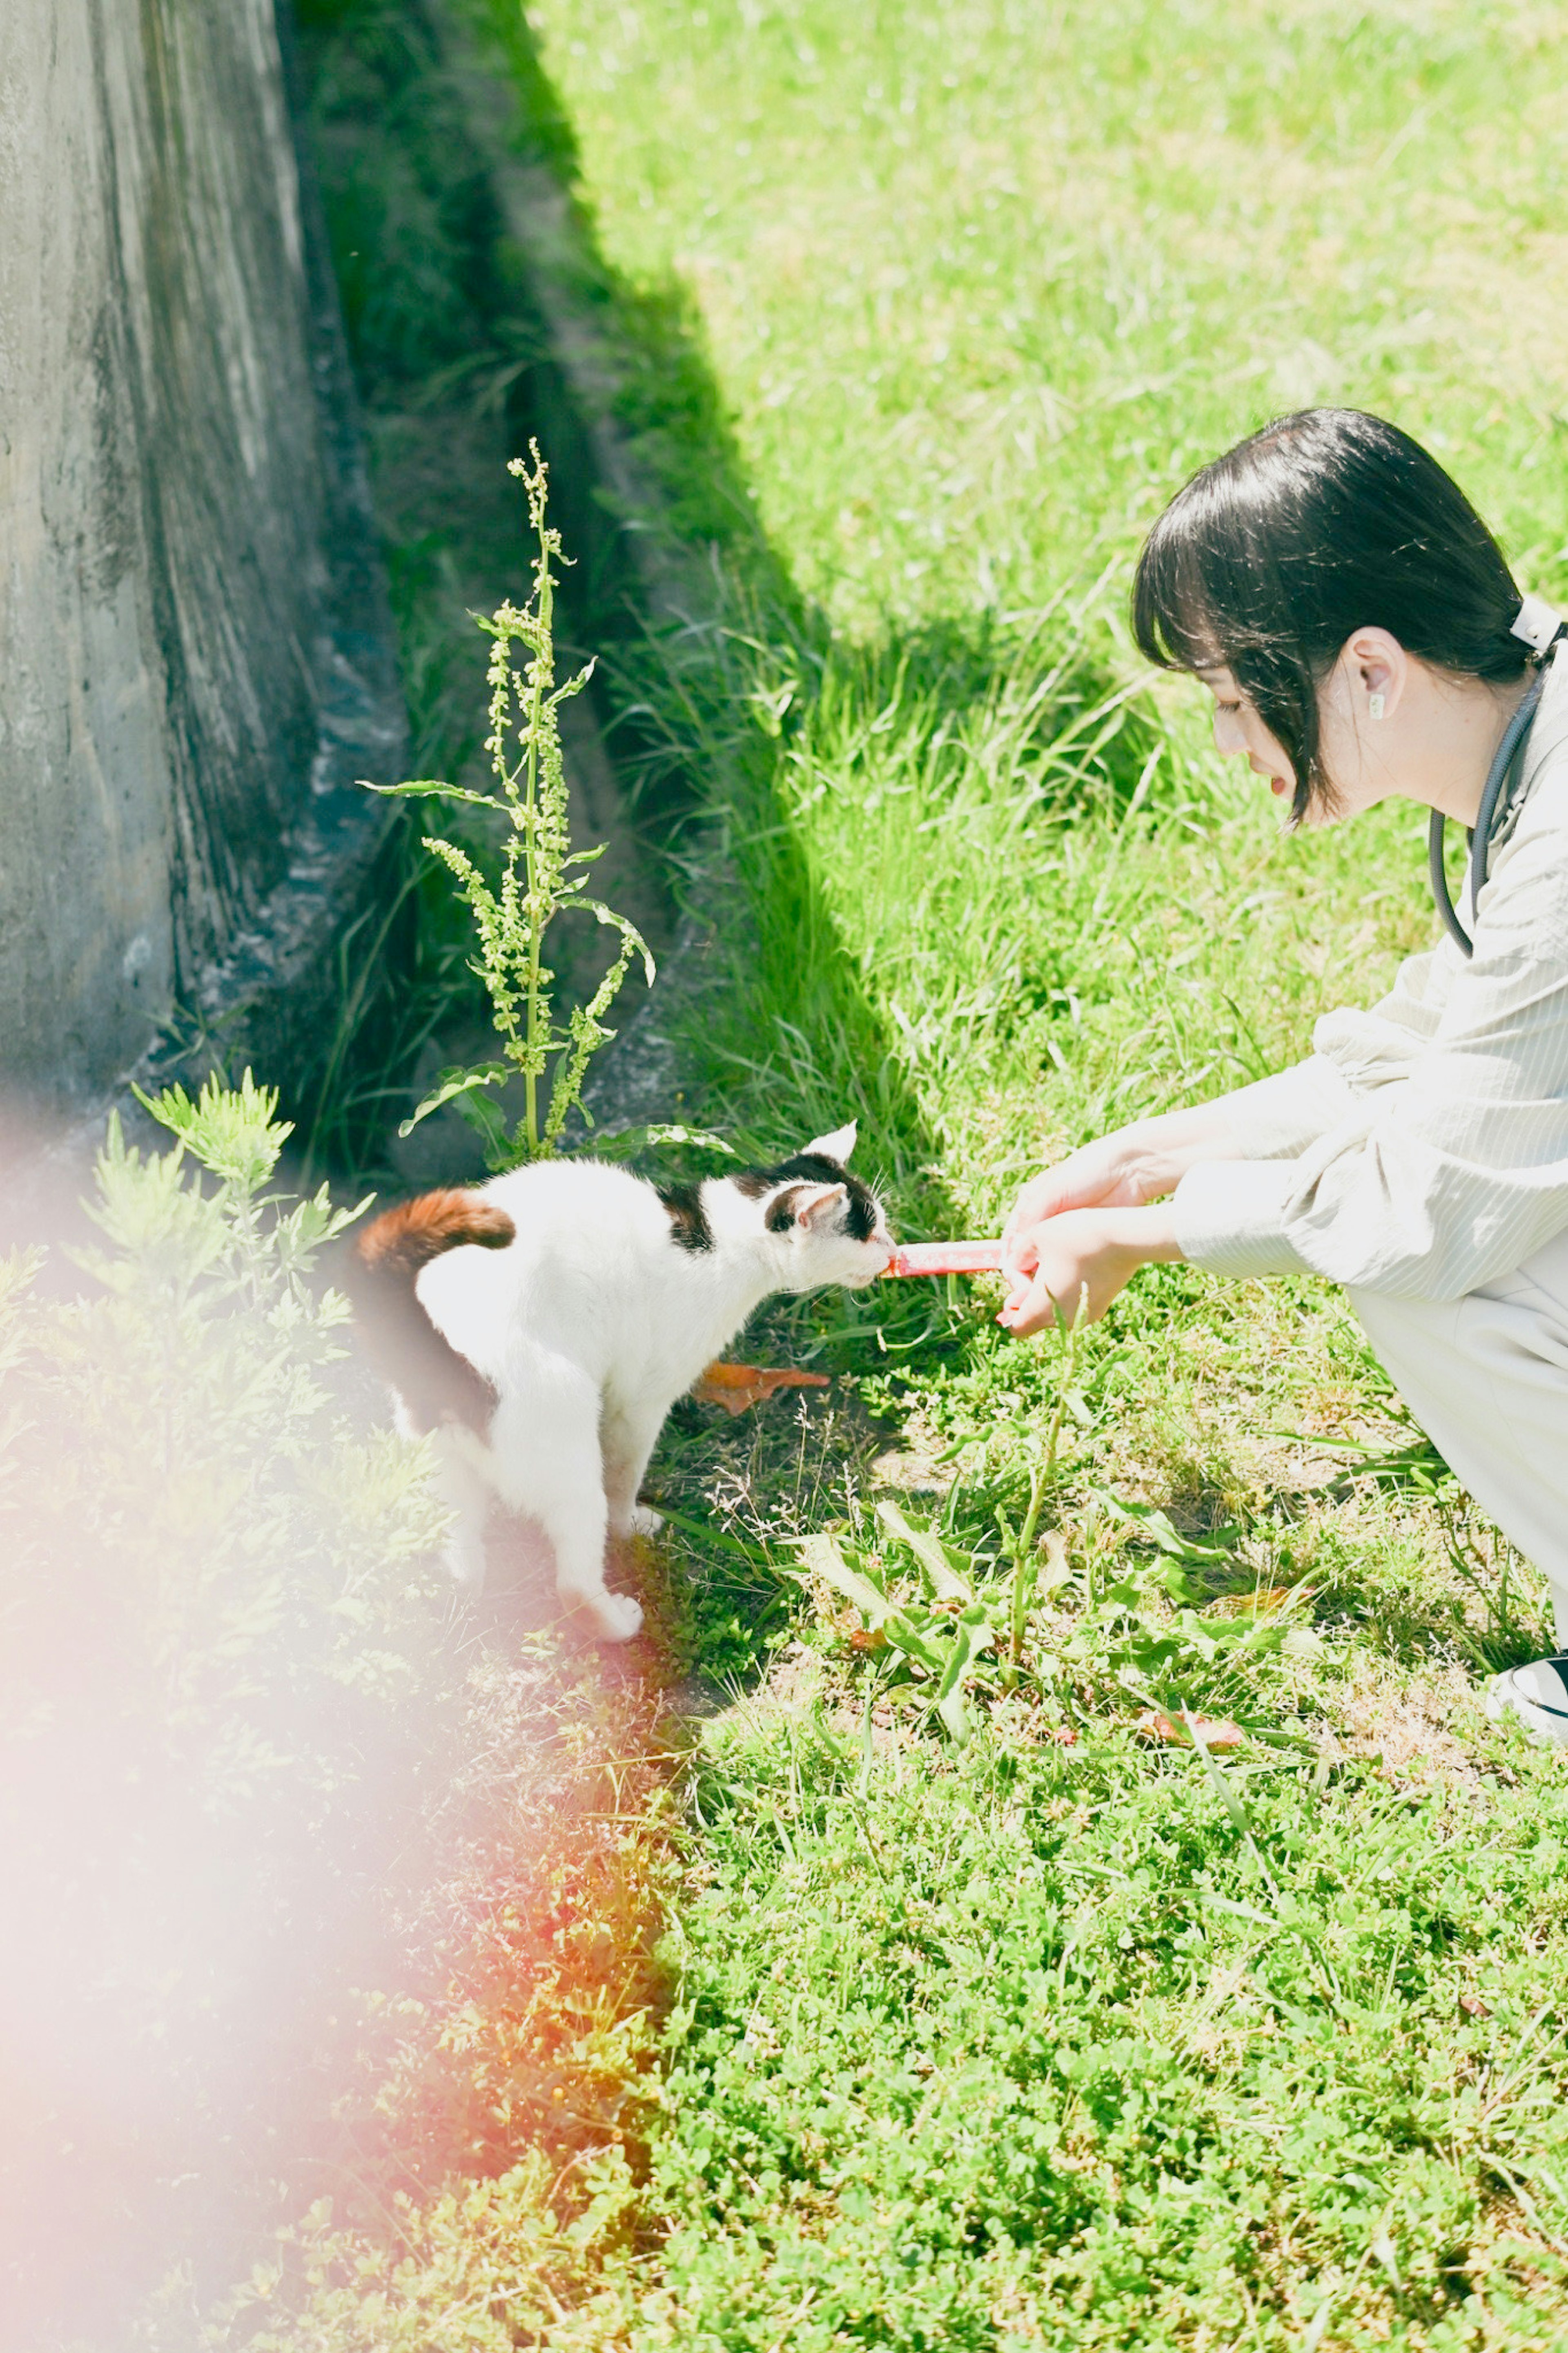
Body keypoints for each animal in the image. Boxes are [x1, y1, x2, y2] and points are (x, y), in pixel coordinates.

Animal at [345, 1120, 893, 1637]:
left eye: (881, 1227)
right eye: (866, 1235)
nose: (892, 1252)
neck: (718, 1243)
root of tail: (444, 1352)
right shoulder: (640, 1402)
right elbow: (625, 1476)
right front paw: (630, 1522)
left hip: (446, 1474)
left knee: (462, 1558)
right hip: (568, 1446)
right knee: (574, 1578)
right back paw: (616, 1623)